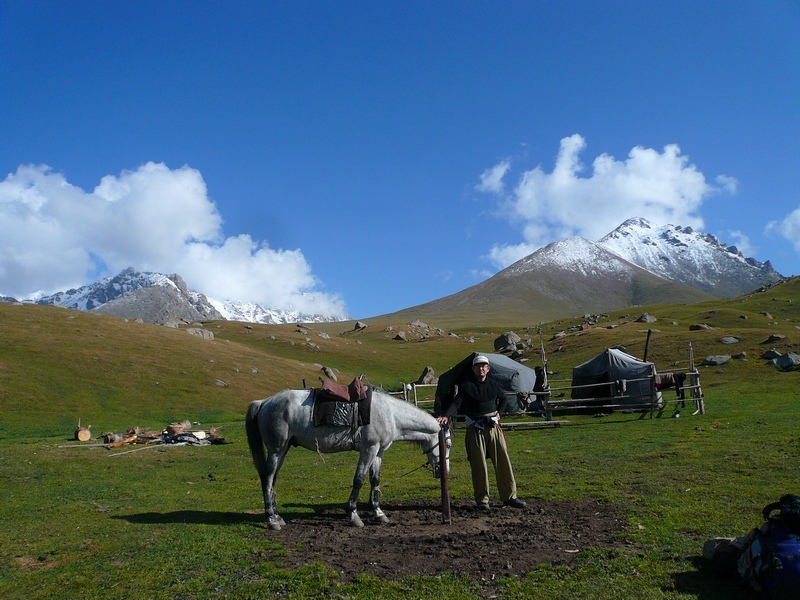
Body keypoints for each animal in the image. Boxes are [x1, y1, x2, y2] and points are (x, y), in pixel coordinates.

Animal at [244, 390, 450, 528]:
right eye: (447, 445)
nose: (445, 471)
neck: (390, 413)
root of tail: (264, 402)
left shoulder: (378, 452)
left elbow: (375, 481)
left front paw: (379, 513)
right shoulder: (368, 450)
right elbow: (359, 480)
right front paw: (353, 515)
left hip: (283, 450)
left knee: (272, 480)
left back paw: (277, 516)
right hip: (276, 450)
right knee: (267, 478)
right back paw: (271, 519)